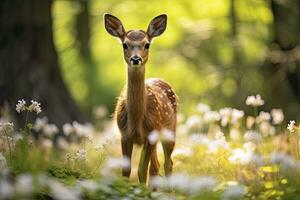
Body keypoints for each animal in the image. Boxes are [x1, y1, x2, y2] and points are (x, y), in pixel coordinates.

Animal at [104, 13, 177, 184]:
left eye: (147, 44)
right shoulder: (124, 135)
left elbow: (141, 170)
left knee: (168, 163)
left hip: (170, 131)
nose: (136, 59)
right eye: (124, 44)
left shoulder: (151, 134)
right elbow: (126, 170)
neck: (137, 121)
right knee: (156, 166)